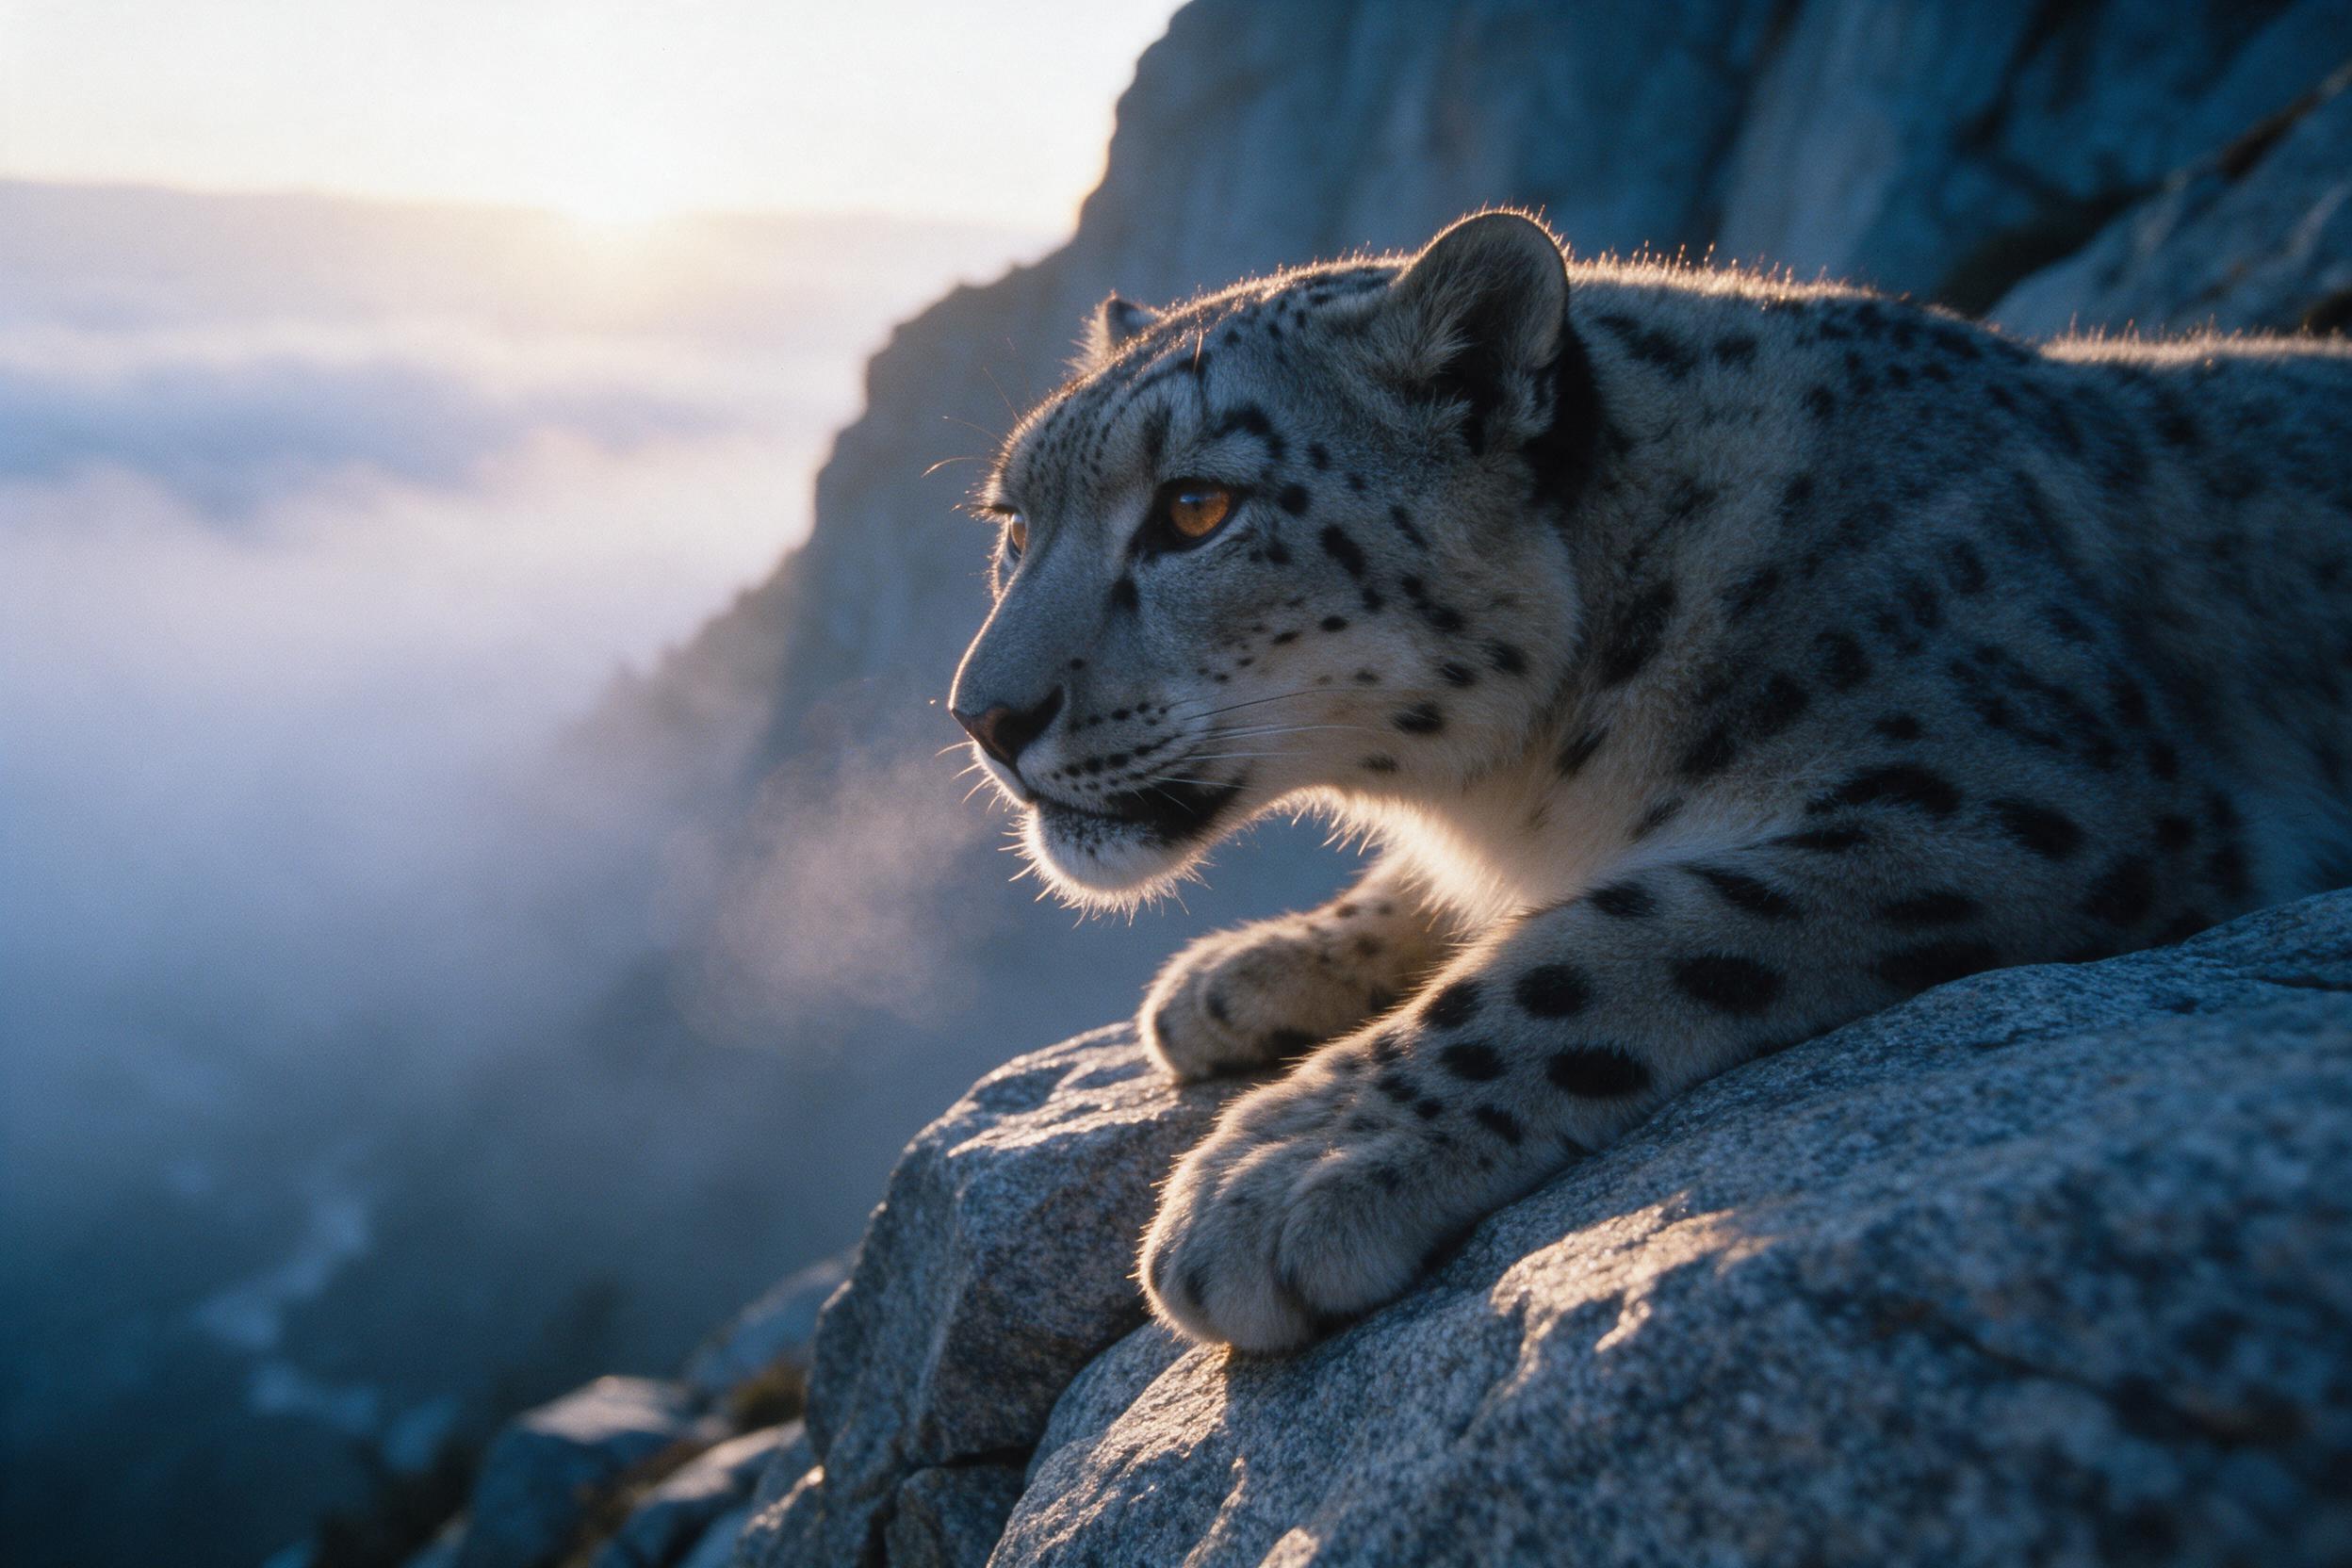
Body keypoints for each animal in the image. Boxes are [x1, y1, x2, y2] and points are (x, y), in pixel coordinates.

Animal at [947, 210, 2352, 1354]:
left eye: (1196, 508)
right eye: (1014, 524)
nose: (982, 718)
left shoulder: (2025, 794)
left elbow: (1607, 939)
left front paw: (1284, 1170)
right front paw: (1242, 975)